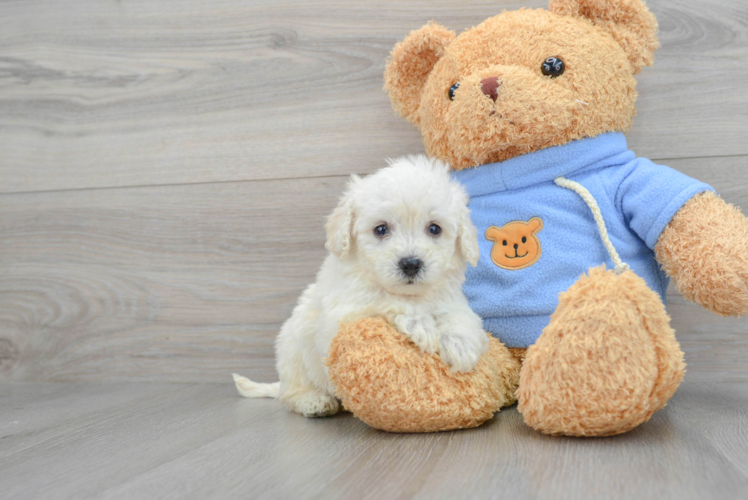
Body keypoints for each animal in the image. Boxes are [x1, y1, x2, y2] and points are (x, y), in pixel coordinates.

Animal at [235, 156, 490, 418]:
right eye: (381, 229)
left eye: (435, 228)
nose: (410, 264)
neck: (412, 294)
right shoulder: (342, 314)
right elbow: (386, 301)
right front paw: (421, 325)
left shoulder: (450, 299)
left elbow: (459, 317)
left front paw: (461, 345)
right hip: (292, 352)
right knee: (290, 393)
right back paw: (313, 401)